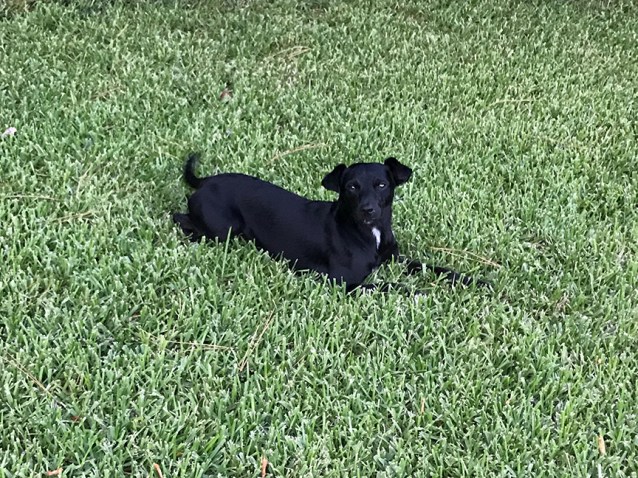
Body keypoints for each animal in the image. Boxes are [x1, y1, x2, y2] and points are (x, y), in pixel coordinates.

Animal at [173, 153, 488, 293]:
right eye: (351, 187)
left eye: (382, 184)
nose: (368, 210)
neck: (367, 234)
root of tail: (205, 181)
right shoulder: (345, 283)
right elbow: (390, 285)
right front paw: (421, 292)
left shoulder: (395, 258)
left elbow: (435, 268)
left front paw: (474, 281)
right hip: (223, 229)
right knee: (179, 217)